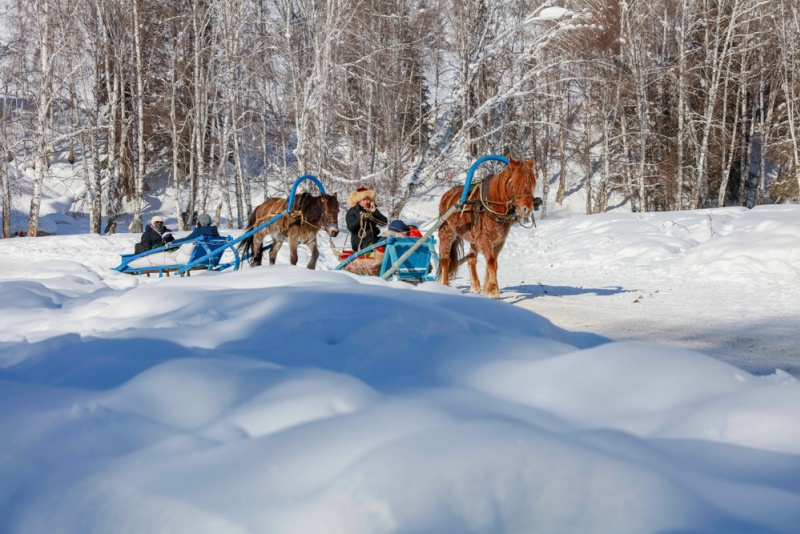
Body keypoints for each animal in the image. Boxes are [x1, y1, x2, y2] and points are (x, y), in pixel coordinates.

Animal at [438, 158, 536, 302]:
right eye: (515, 182)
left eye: (532, 182)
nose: (526, 209)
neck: (493, 206)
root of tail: (447, 195)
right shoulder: (484, 239)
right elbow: (491, 262)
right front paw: (494, 291)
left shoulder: (498, 241)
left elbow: (492, 263)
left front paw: (486, 290)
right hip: (446, 233)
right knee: (445, 260)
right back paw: (444, 285)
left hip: (473, 239)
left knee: (471, 259)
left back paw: (474, 286)